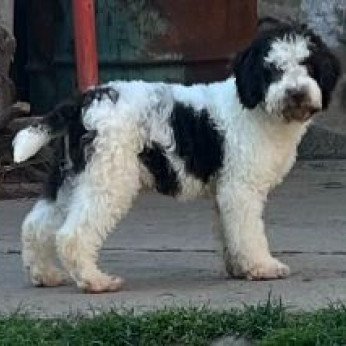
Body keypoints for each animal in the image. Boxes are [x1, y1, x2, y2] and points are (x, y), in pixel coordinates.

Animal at [12, 23, 340, 292]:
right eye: (273, 70)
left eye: (309, 66)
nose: (296, 93)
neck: (258, 109)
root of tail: (83, 100)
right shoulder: (241, 188)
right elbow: (248, 232)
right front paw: (263, 267)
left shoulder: (225, 192)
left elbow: (230, 232)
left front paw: (238, 268)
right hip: (108, 179)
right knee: (72, 234)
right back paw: (95, 281)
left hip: (72, 176)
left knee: (36, 225)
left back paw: (44, 274)